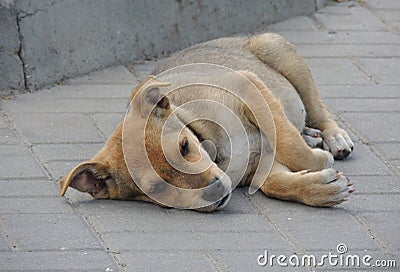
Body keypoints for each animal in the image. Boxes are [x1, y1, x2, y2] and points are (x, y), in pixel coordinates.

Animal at [58, 33, 354, 212]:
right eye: (157, 189)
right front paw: (322, 188)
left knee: (317, 109)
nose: (216, 192)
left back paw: (333, 137)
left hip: (278, 51)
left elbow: (287, 142)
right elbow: (275, 183)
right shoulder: (263, 166)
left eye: (184, 147)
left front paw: (319, 162)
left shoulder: (249, 87)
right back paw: (312, 136)